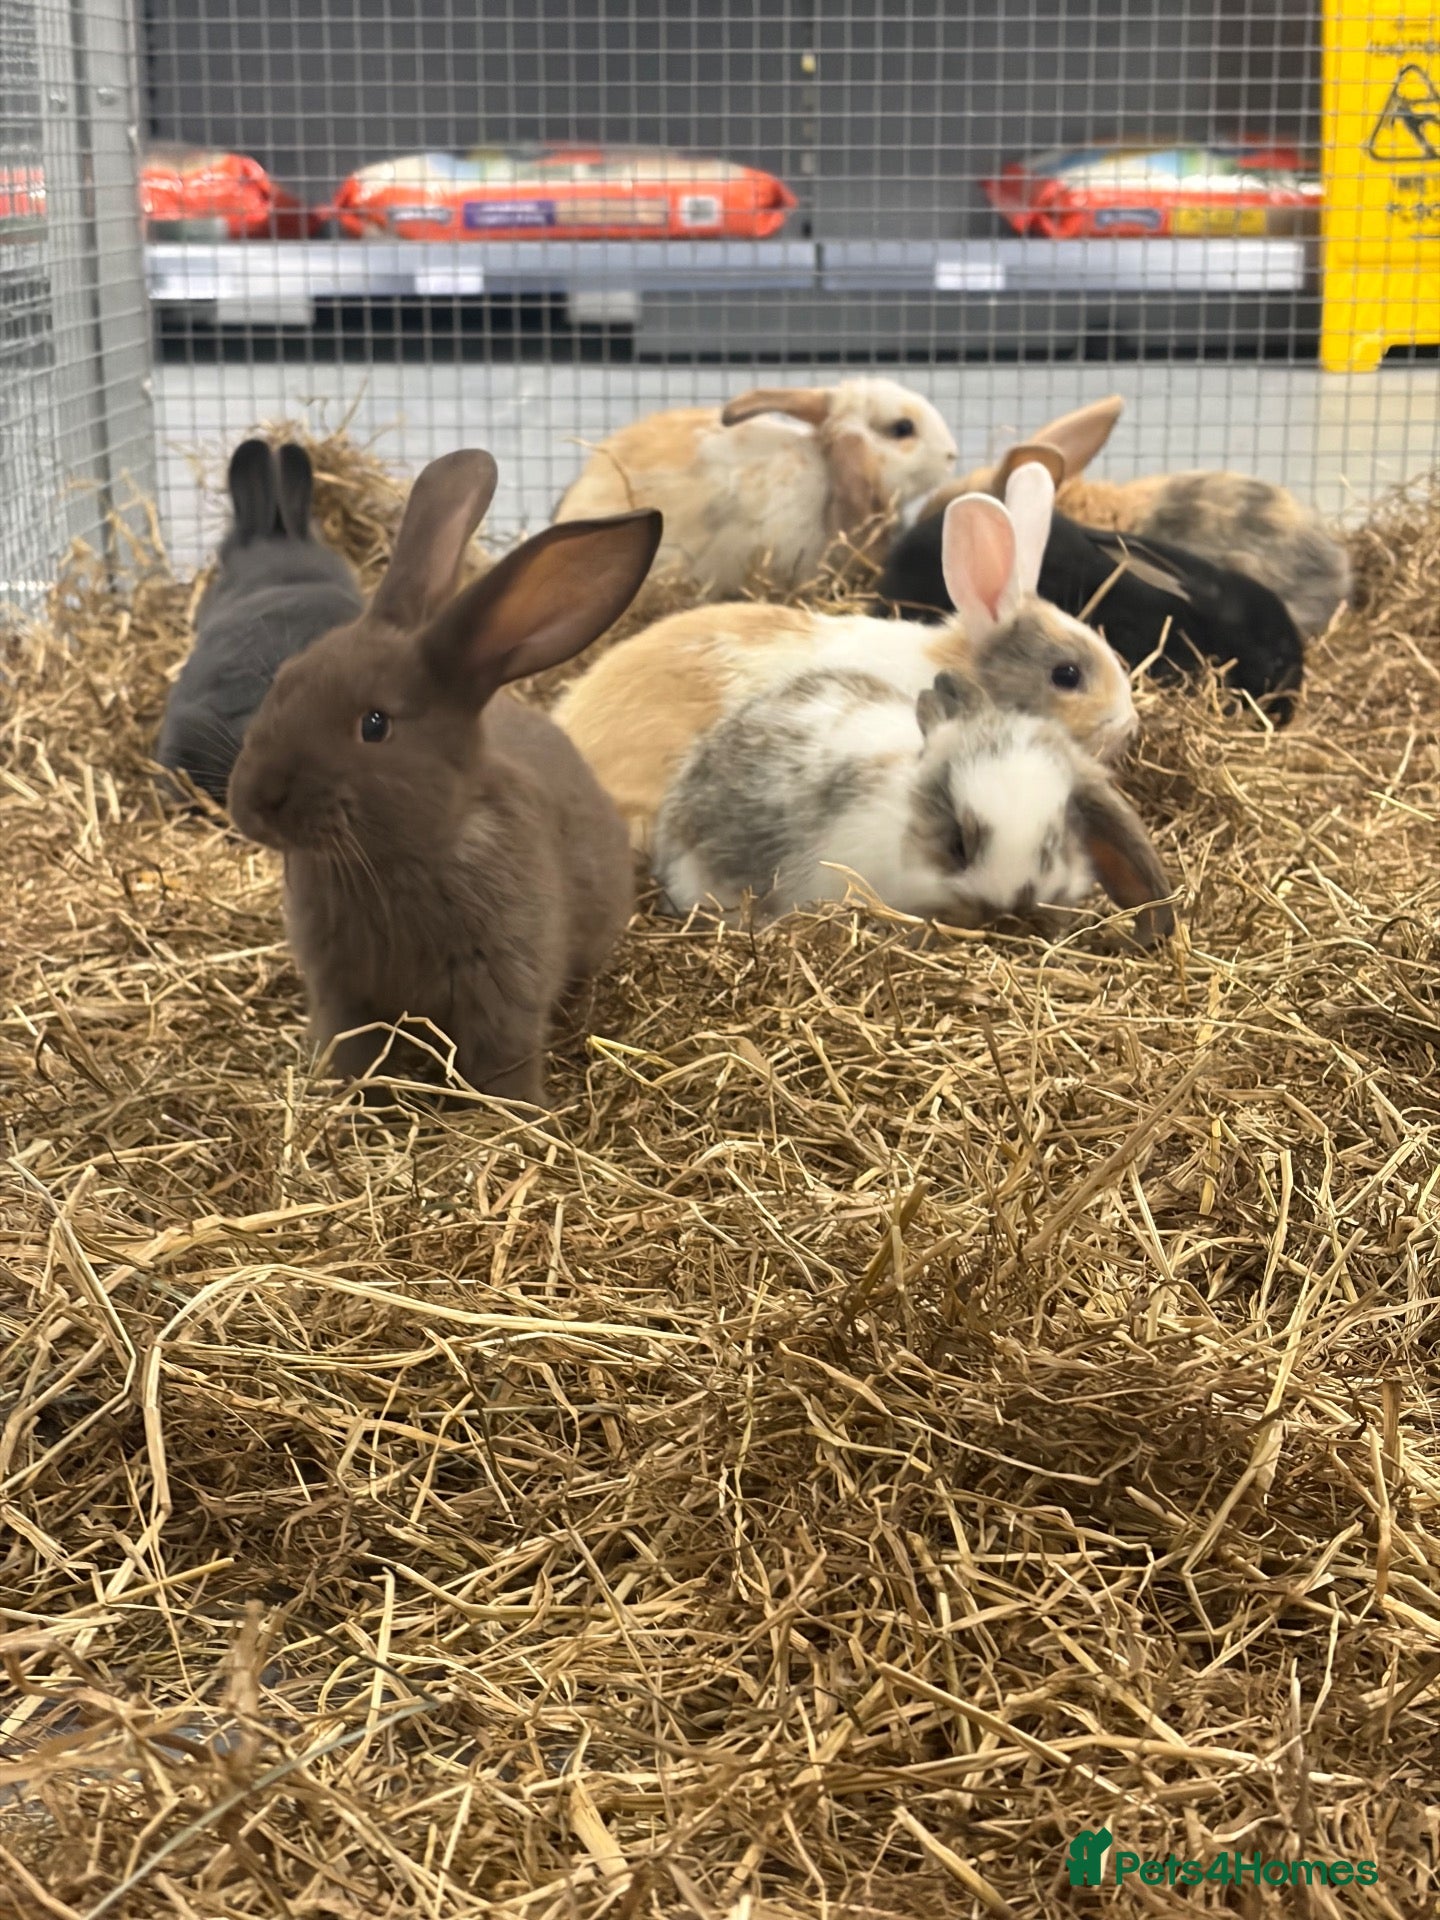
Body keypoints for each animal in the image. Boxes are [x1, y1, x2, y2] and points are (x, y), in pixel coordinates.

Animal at [226, 447, 663, 1108]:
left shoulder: (504, 988)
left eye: (375, 724)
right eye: (286, 679)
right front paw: (350, 1096)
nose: (256, 801)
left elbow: (504, 1059)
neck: (403, 857)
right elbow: (351, 1046)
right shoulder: (341, 992)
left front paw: (519, 1113)